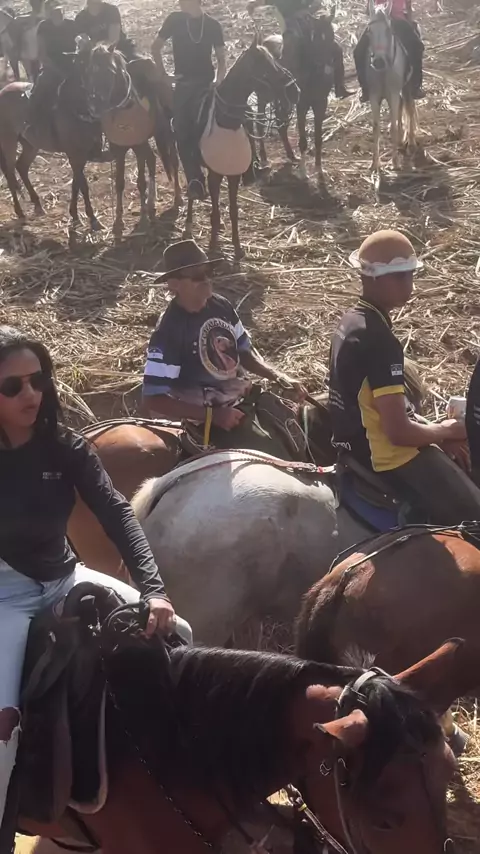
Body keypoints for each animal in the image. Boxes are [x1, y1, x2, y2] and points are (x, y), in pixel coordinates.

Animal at [83, 43, 182, 236]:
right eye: (90, 72)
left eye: (111, 71)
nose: (94, 107)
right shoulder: (120, 148)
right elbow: (120, 183)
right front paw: (118, 220)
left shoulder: (138, 144)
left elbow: (141, 182)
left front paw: (142, 218)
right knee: (152, 159)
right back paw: (151, 202)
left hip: (166, 134)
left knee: (172, 162)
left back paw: (177, 198)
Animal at [184, 34, 298, 260]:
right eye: (263, 63)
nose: (293, 90)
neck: (226, 121)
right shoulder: (215, 174)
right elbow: (217, 208)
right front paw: (213, 245)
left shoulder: (233, 174)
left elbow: (233, 210)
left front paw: (237, 248)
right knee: (191, 187)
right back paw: (190, 223)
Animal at [364, 3, 417, 172]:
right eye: (369, 30)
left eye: (389, 30)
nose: (379, 62)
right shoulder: (374, 96)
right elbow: (376, 126)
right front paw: (375, 163)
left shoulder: (393, 94)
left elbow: (393, 126)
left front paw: (395, 162)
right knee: (401, 108)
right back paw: (401, 139)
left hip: (407, 87)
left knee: (409, 107)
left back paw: (410, 141)